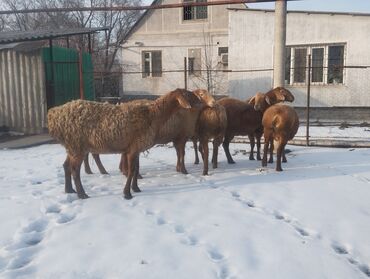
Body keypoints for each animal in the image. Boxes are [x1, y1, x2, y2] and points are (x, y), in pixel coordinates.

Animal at [47, 88, 192, 200]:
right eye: (188, 95)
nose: (194, 106)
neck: (152, 116)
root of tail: (53, 115)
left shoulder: (135, 148)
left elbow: (136, 169)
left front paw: (136, 188)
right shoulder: (134, 148)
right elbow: (132, 170)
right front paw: (127, 193)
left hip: (72, 146)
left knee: (66, 166)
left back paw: (69, 190)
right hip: (77, 145)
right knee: (75, 170)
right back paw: (82, 194)